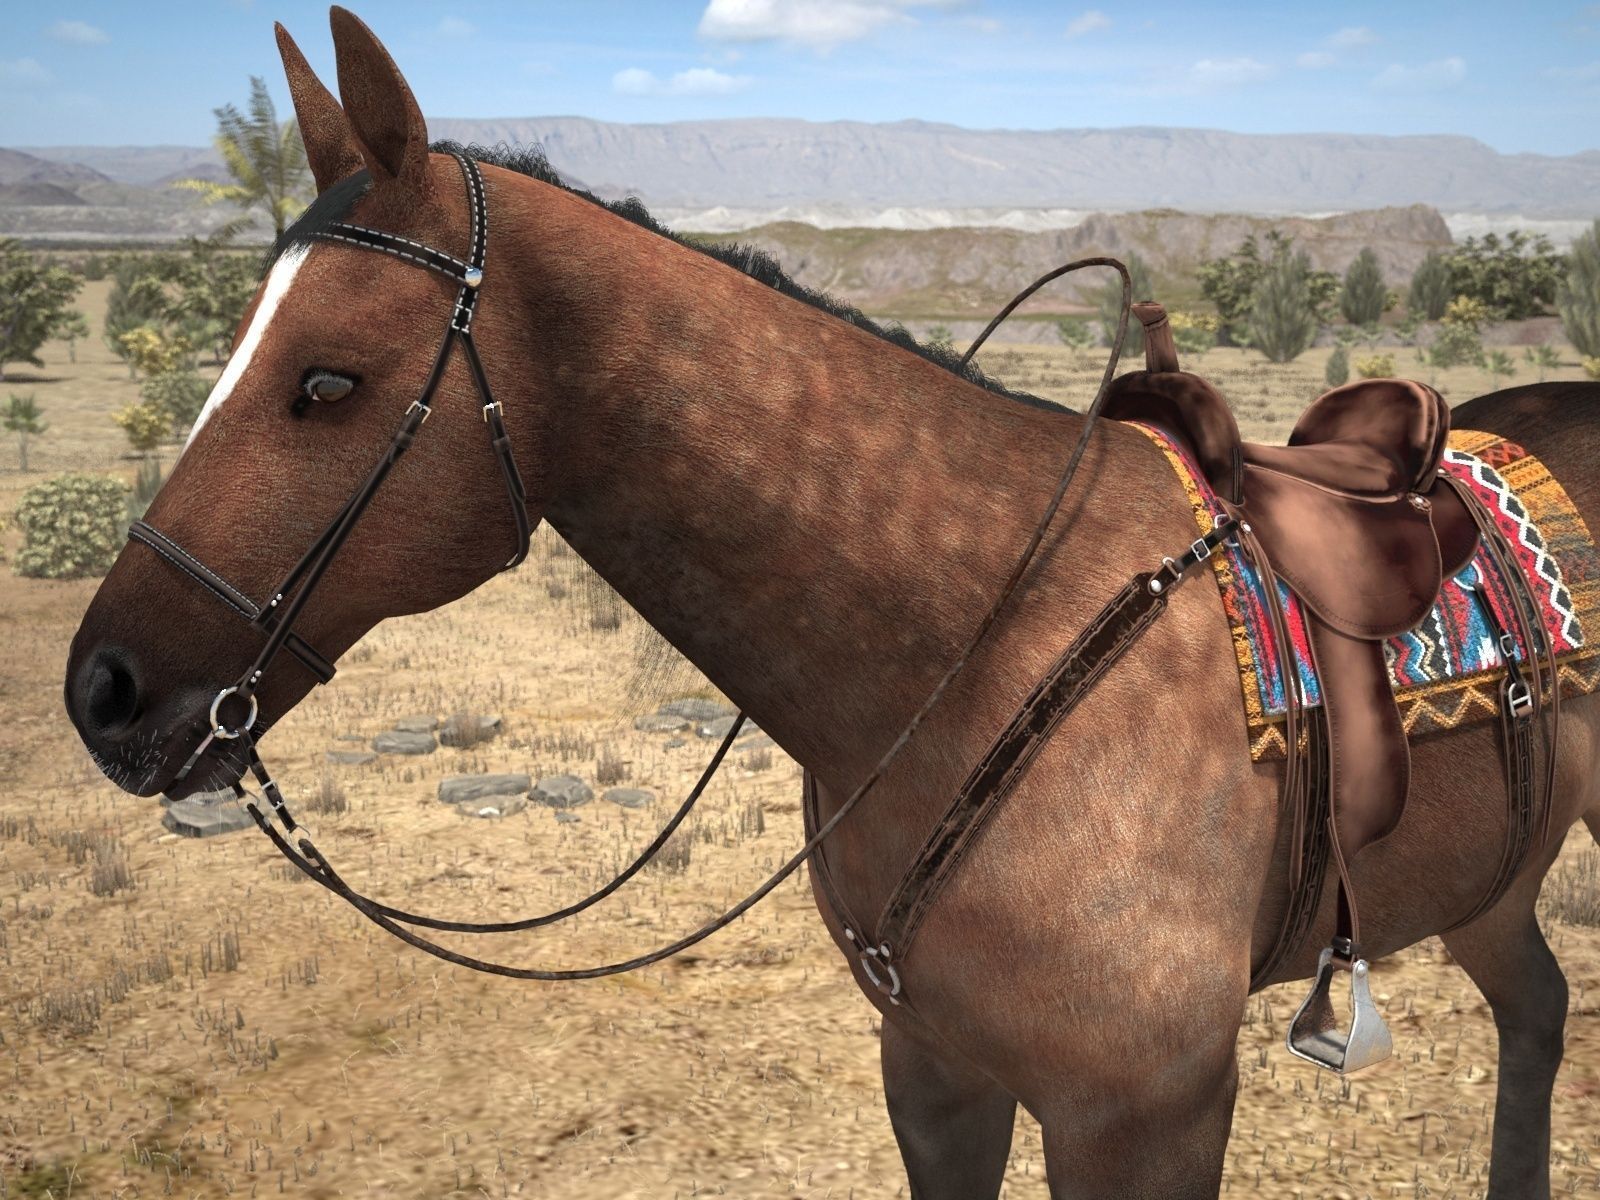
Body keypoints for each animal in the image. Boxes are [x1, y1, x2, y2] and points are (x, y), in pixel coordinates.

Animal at [63, 10, 1600, 1198]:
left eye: (325, 382)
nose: (102, 691)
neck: (976, 644)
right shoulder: (934, 1068)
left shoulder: (1146, 1112)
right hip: (1489, 880)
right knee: (1537, 1008)